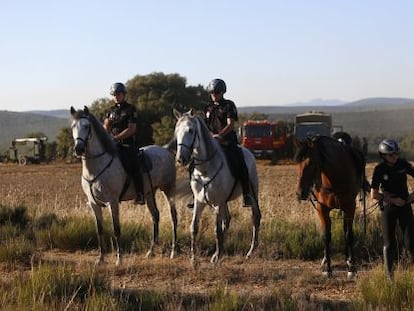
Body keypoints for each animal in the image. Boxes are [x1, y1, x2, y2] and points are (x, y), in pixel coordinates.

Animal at [69, 106, 176, 266]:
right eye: (73, 126)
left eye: (87, 126)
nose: (79, 149)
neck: (96, 167)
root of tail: (165, 150)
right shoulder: (94, 204)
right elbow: (99, 230)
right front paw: (100, 258)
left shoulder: (112, 202)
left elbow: (116, 229)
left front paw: (119, 259)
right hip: (150, 193)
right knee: (155, 216)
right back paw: (151, 251)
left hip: (168, 190)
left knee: (173, 216)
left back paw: (174, 252)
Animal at [173, 109, 260, 266]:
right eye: (177, 131)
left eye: (191, 130)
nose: (180, 159)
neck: (205, 170)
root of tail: (249, 153)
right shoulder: (199, 202)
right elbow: (194, 227)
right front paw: (194, 259)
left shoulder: (218, 203)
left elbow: (217, 230)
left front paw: (216, 257)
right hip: (225, 201)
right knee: (228, 220)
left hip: (252, 193)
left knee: (255, 218)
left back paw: (250, 252)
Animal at [294, 136, 362, 278]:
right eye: (296, 162)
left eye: (311, 162)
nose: (300, 193)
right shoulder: (322, 209)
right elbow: (326, 235)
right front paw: (327, 268)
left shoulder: (350, 207)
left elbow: (349, 235)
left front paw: (352, 268)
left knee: (346, 231)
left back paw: (348, 259)